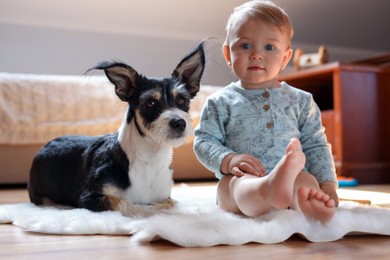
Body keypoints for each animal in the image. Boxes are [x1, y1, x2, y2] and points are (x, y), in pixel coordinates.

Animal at [28, 43, 206, 217]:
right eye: (150, 103)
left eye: (182, 100)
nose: (179, 123)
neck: (150, 158)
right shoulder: (88, 198)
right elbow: (133, 206)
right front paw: (154, 210)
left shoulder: (165, 195)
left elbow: (169, 203)